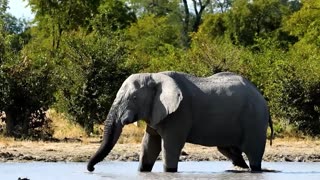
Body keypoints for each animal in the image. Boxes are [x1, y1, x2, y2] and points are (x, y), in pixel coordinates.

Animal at [87, 71, 272, 173]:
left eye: (133, 98)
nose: (91, 169)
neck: (154, 76)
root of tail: (263, 99)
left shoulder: (179, 113)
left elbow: (170, 146)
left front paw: (170, 172)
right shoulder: (156, 112)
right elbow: (149, 145)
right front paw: (144, 170)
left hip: (255, 120)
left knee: (253, 153)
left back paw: (253, 169)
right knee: (229, 150)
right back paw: (241, 167)